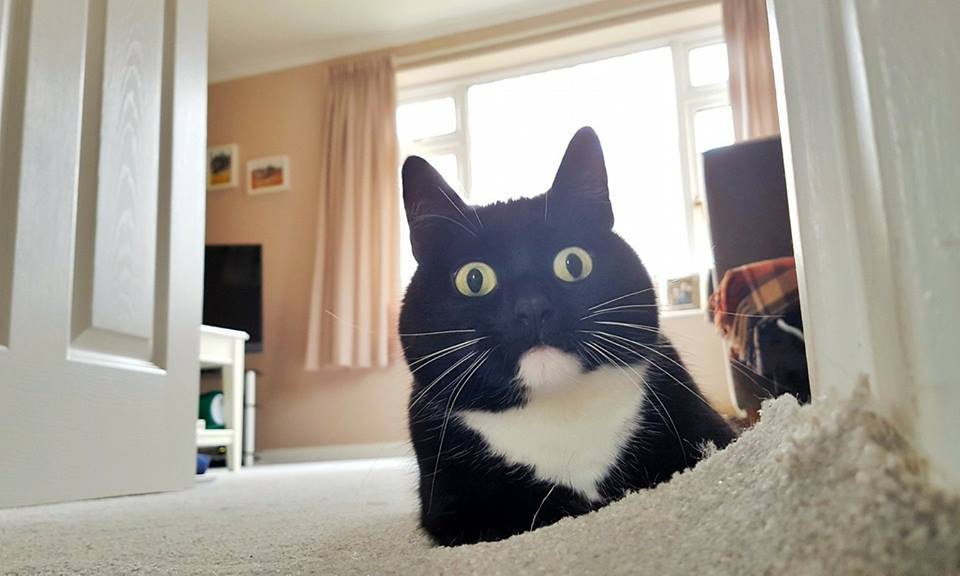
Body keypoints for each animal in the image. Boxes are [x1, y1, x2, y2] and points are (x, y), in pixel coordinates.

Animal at [400, 127, 735, 546]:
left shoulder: (709, 430)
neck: (560, 415)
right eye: (473, 278)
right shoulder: (455, 506)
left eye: (573, 263)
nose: (532, 307)